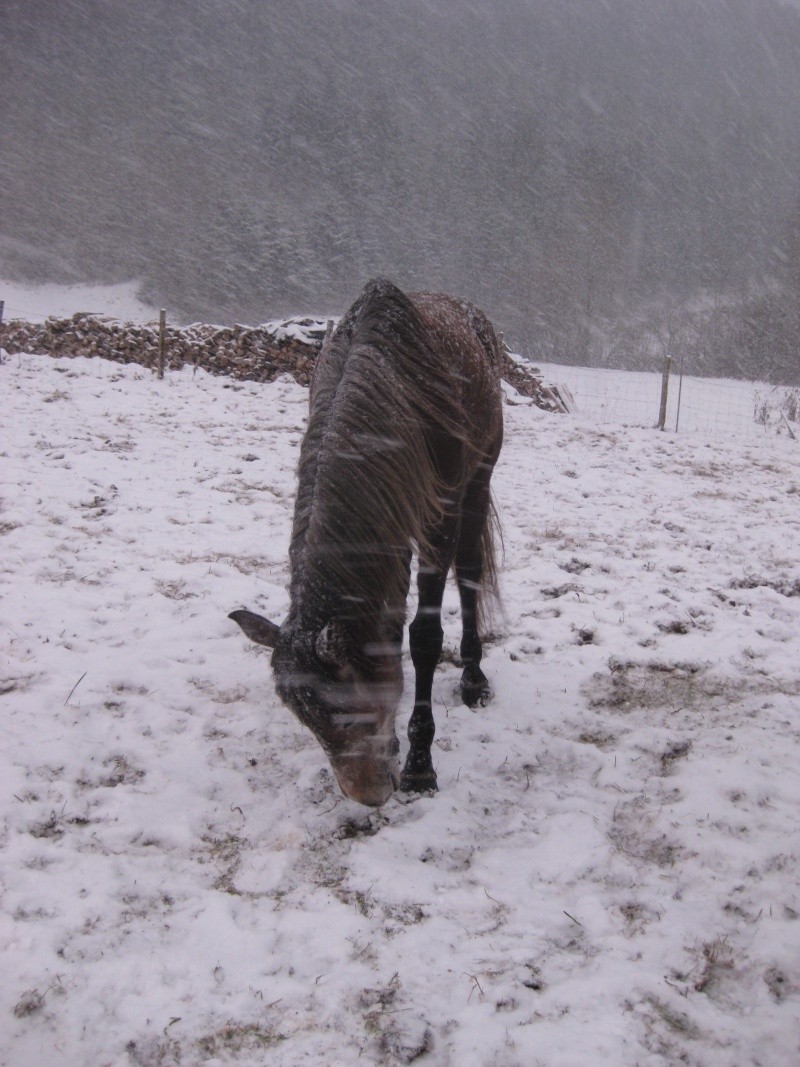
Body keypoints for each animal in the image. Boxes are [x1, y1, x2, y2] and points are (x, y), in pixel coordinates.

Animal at [230, 279, 501, 802]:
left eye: (350, 707)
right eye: (308, 722)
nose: (369, 796)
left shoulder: (439, 519)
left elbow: (425, 637)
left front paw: (419, 767)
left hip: (478, 480)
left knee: (470, 574)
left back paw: (474, 680)